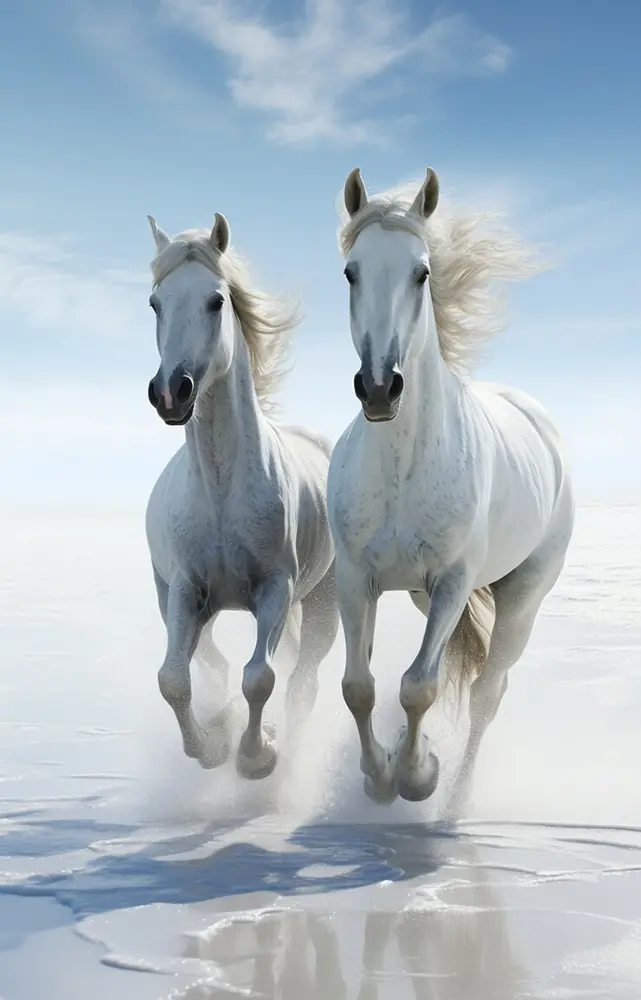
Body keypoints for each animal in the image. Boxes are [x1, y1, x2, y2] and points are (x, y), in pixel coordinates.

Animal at [144, 211, 338, 780]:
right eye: (155, 303)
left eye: (216, 301)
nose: (171, 392)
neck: (222, 491)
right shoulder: (186, 591)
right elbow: (173, 680)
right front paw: (211, 748)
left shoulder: (276, 590)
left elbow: (261, 678)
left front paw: (257, 756)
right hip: (180, 603)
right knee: (211, 663)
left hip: (323, 605)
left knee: (301, 682)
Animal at [327, 166, 574, 809]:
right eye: (350, 271)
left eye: (422, 272)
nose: (380, 388)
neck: (401, 471)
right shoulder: (355, 579)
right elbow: (358, 686)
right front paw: (379, 775)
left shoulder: (452, 584)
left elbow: (419, 686)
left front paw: (417, 778)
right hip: (418, 594)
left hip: (522, 599)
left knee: (489, 692)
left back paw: (456, 801)